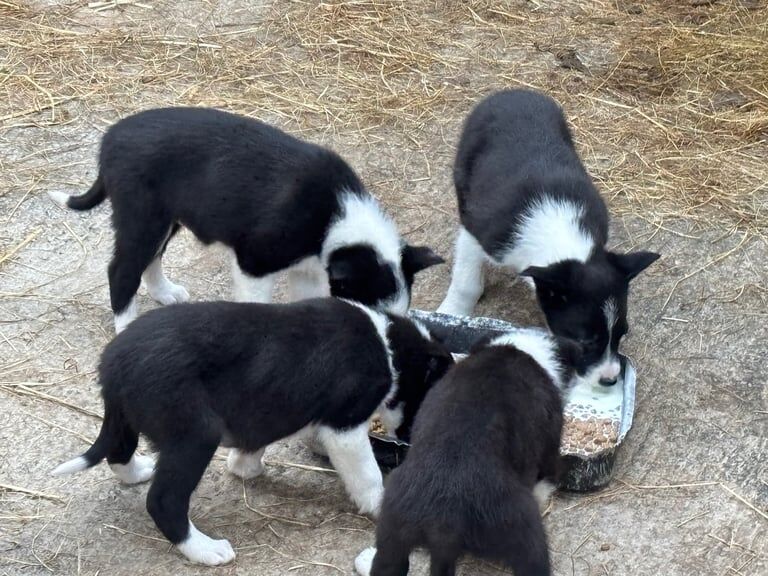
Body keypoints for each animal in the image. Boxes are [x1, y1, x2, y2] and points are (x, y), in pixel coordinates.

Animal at [46, 108, 444, 332]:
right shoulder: (255, 263)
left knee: (151, 259)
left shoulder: (309, 270)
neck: (337, 214)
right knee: (123, 270)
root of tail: (110, 139)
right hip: (141, 215)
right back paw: (126, 325)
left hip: (165, 218)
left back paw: (166, 294)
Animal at [51, 300, 452, 564]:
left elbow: (255, 441)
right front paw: (383, 505)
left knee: (118, 452)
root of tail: (113, 362)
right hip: (195, 433)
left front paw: (246, 467)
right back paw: (206, 550)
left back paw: (139, 471)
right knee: (163, 501)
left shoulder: (272, 407)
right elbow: (368, 476)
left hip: (127, 419)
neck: (390, 347)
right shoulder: (345, 424)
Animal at [356, 328, 580, 576]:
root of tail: (444, 519)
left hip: (392, 534)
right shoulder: (550, 447)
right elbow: (546, 480)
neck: (521, 348)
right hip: (526, 532)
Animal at [438, 90, 660, 388]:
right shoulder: (476, 234)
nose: (610, 380)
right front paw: (451, 312)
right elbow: (466, 284)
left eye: (622, 333)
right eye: (585, 341)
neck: (559, 232)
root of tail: (512, 92)